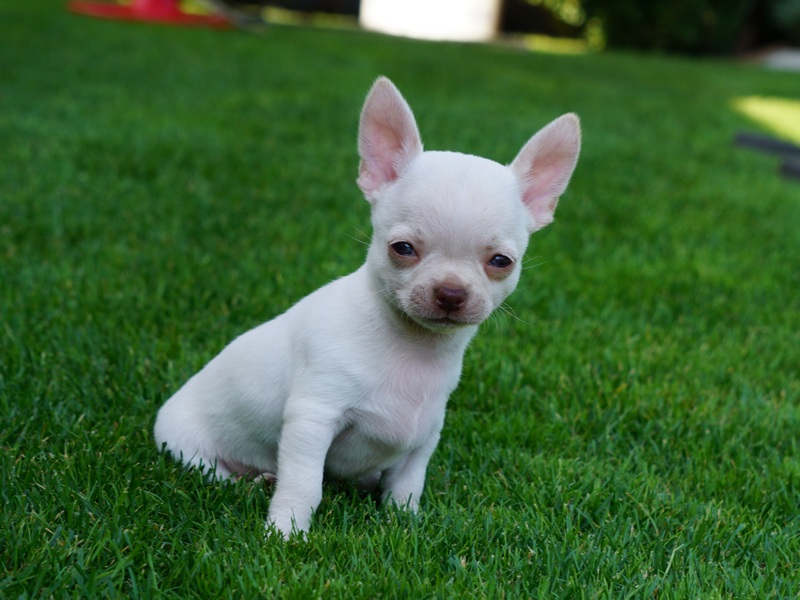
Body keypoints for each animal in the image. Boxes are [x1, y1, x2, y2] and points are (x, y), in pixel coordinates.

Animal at [154, 77, 581, 538]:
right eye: (403, 249)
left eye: (502, 262)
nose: (450, 293)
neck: (413, 348)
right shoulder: (312, 418)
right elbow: (304, 485)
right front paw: (285, 533)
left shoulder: (424, 436)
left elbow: (407, 486)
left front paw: (404, 525)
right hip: (185, 446)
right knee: (214, 473)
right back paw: (252, 482)